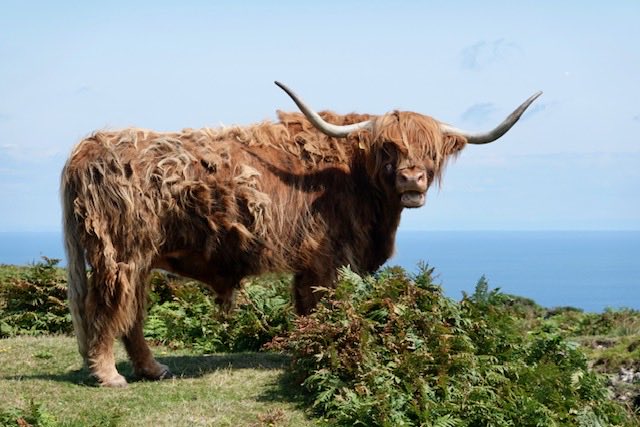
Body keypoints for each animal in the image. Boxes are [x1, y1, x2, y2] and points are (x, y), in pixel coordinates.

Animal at [60, 81, 540, 388]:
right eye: (388, 147)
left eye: (431, 152)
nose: (411, 179)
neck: (353, 175)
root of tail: (87, 146)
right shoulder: (324, 256)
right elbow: (320, 306)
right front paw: (319, 351)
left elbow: (305, 307)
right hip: (120, 254)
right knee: (105, 309)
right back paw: (109, 375)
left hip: (140, 259)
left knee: (131, 314)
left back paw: (152, 369)